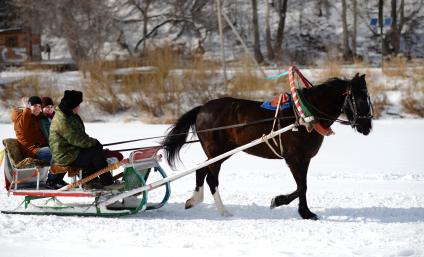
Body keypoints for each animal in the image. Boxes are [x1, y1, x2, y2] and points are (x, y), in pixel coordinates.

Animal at [161, 72, 372, 218]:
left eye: (367, 97)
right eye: (359, 98)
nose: (367, 126)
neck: (304, 116)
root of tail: (202, 108)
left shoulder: (305, 159)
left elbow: (303, 186)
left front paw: (305, 212)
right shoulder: (293, 158)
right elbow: (301, 187)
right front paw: (280, 201)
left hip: (221, 152)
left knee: (201, 170)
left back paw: (193, 200)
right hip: (217, 152)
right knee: (212, 179)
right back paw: (224, 211)